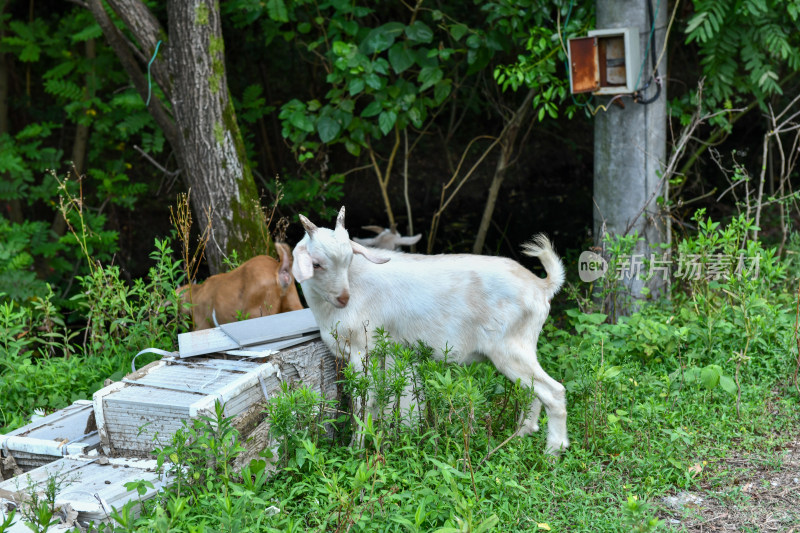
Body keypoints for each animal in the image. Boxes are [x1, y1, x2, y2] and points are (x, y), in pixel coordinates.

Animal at [294, 206, 568, 456]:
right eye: (316, 264)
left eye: (349, 259)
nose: (343, 298)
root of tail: (542, 286)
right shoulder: (386, 353)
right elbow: (383, 400)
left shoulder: (363, 350)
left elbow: (364, 400)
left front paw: (357, 448)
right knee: (534, 392)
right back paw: (521, 436)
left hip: (511, 348)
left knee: (554, 392)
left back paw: (552, 453)